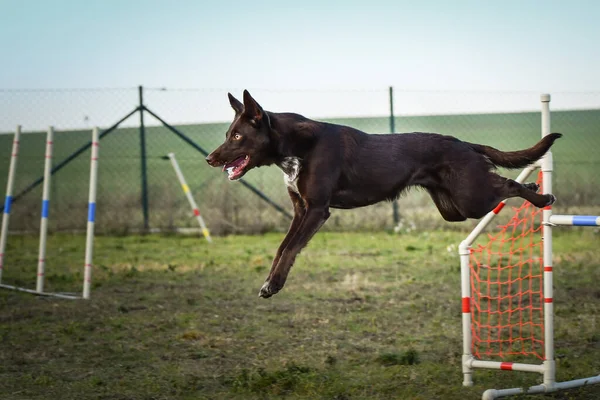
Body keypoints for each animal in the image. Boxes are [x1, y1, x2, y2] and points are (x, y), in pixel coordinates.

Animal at [207, 90, 564, 296]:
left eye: (237, 136)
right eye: (228, 134)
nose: (209, 159)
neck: (296, 147)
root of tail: (464, 143)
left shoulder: (317, 210)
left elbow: (291, 248)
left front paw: (274, 285)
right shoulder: (300, 210)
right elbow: (282, 248)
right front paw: (271, 281)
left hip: (470, 198)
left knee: (506, 185)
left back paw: (540, 195)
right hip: (455, 209)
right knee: (500, 187)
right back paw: (535, 188)